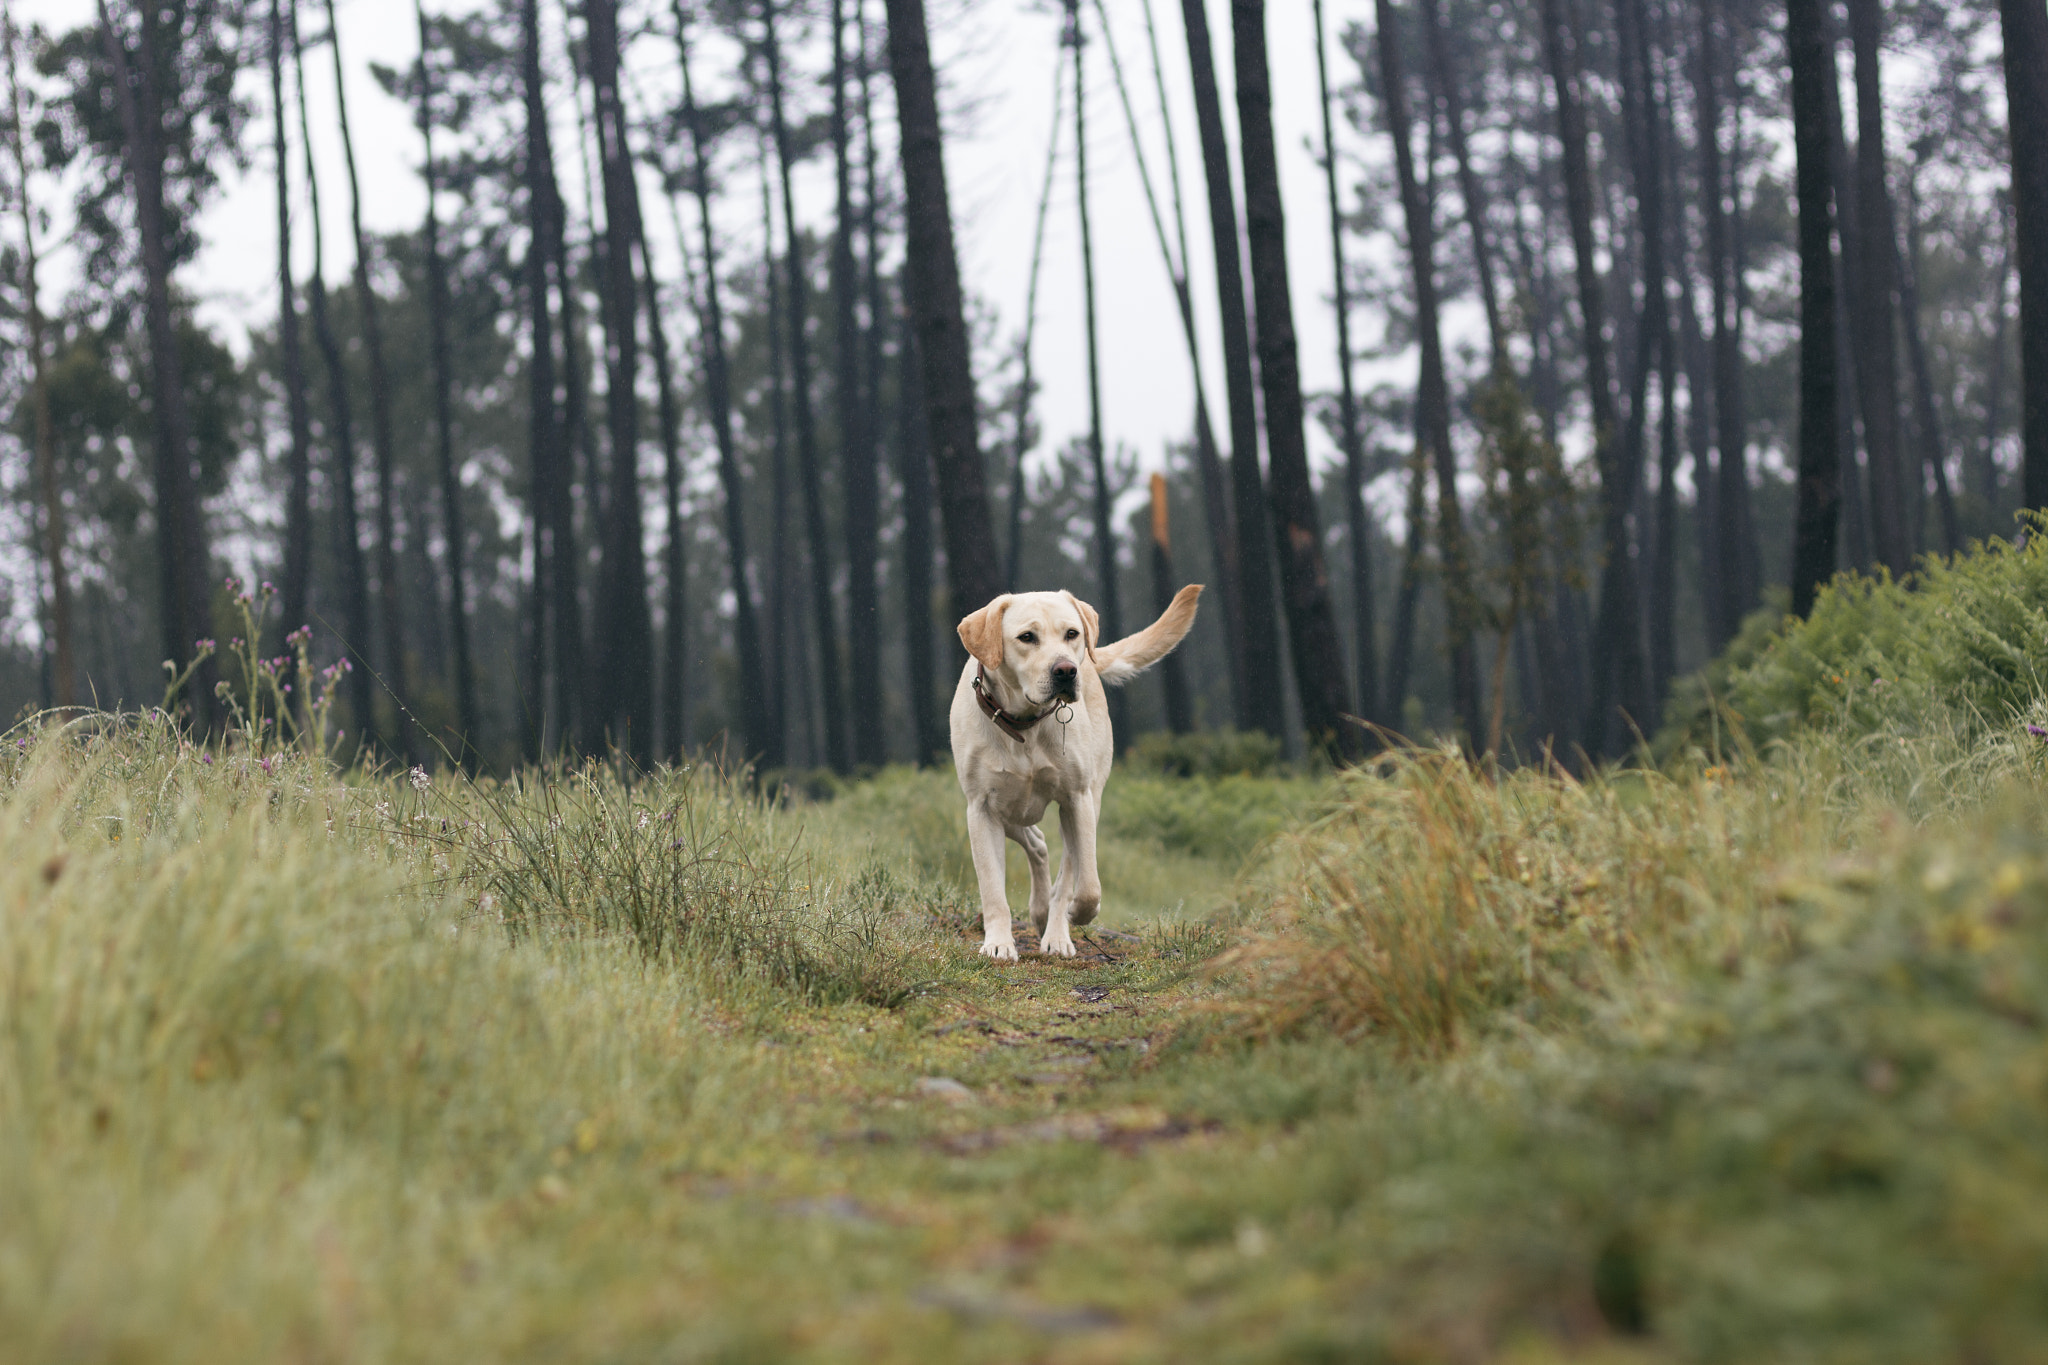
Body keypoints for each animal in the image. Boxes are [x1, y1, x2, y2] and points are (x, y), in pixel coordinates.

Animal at [946, 589, 1196, 961]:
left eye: (1071, 634)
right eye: (1026, 637)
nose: (1066, 670)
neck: (1026, 725)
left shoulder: (1078, 800)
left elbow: (1086, 883)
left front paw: (1076, 914)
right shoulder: (981, 809)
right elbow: (992, 888)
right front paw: (998, 943)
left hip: (1083, 801)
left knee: (1061, 863)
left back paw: (1055, 928)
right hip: (1009, 812)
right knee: (1037, 843)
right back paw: (1039, 912)